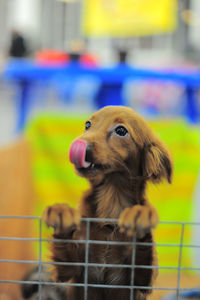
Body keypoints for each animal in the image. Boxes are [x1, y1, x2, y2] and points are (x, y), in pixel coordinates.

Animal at [42, 106, 173, 300]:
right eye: (88, 125)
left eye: (121, 131)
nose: (77, 143)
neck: (112, 199)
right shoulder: (72, 271)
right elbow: (65, 255)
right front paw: (61, 212)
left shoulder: (141, 281)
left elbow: (143, 253)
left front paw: (139, 215)